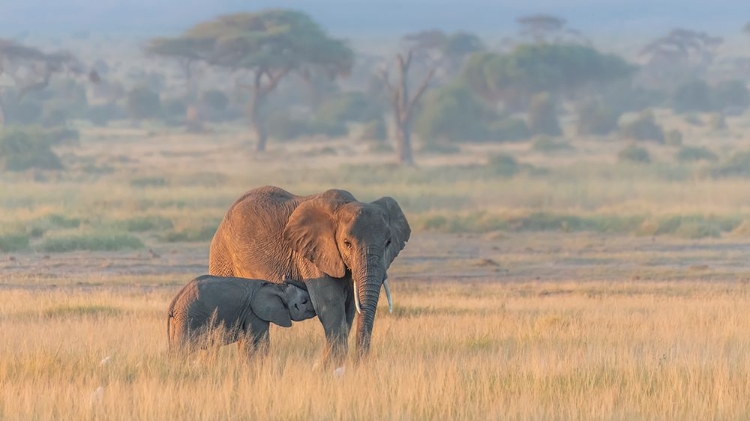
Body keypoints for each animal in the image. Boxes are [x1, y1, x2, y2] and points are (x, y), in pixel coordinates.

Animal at [166, 274, 316, 356]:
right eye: (304, 301)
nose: (285, 276)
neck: (278, 287)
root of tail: (174, 301)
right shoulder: (254, 313)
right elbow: (260, 341)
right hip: (189, 316)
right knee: (183, 348)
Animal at [210, 185, 412, 362]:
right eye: (347, 243)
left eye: (388, 242)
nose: (359, 363)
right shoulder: (313, 254)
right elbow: (331, 306)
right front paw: (332, 367)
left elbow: (349, 310)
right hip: (222, 255)